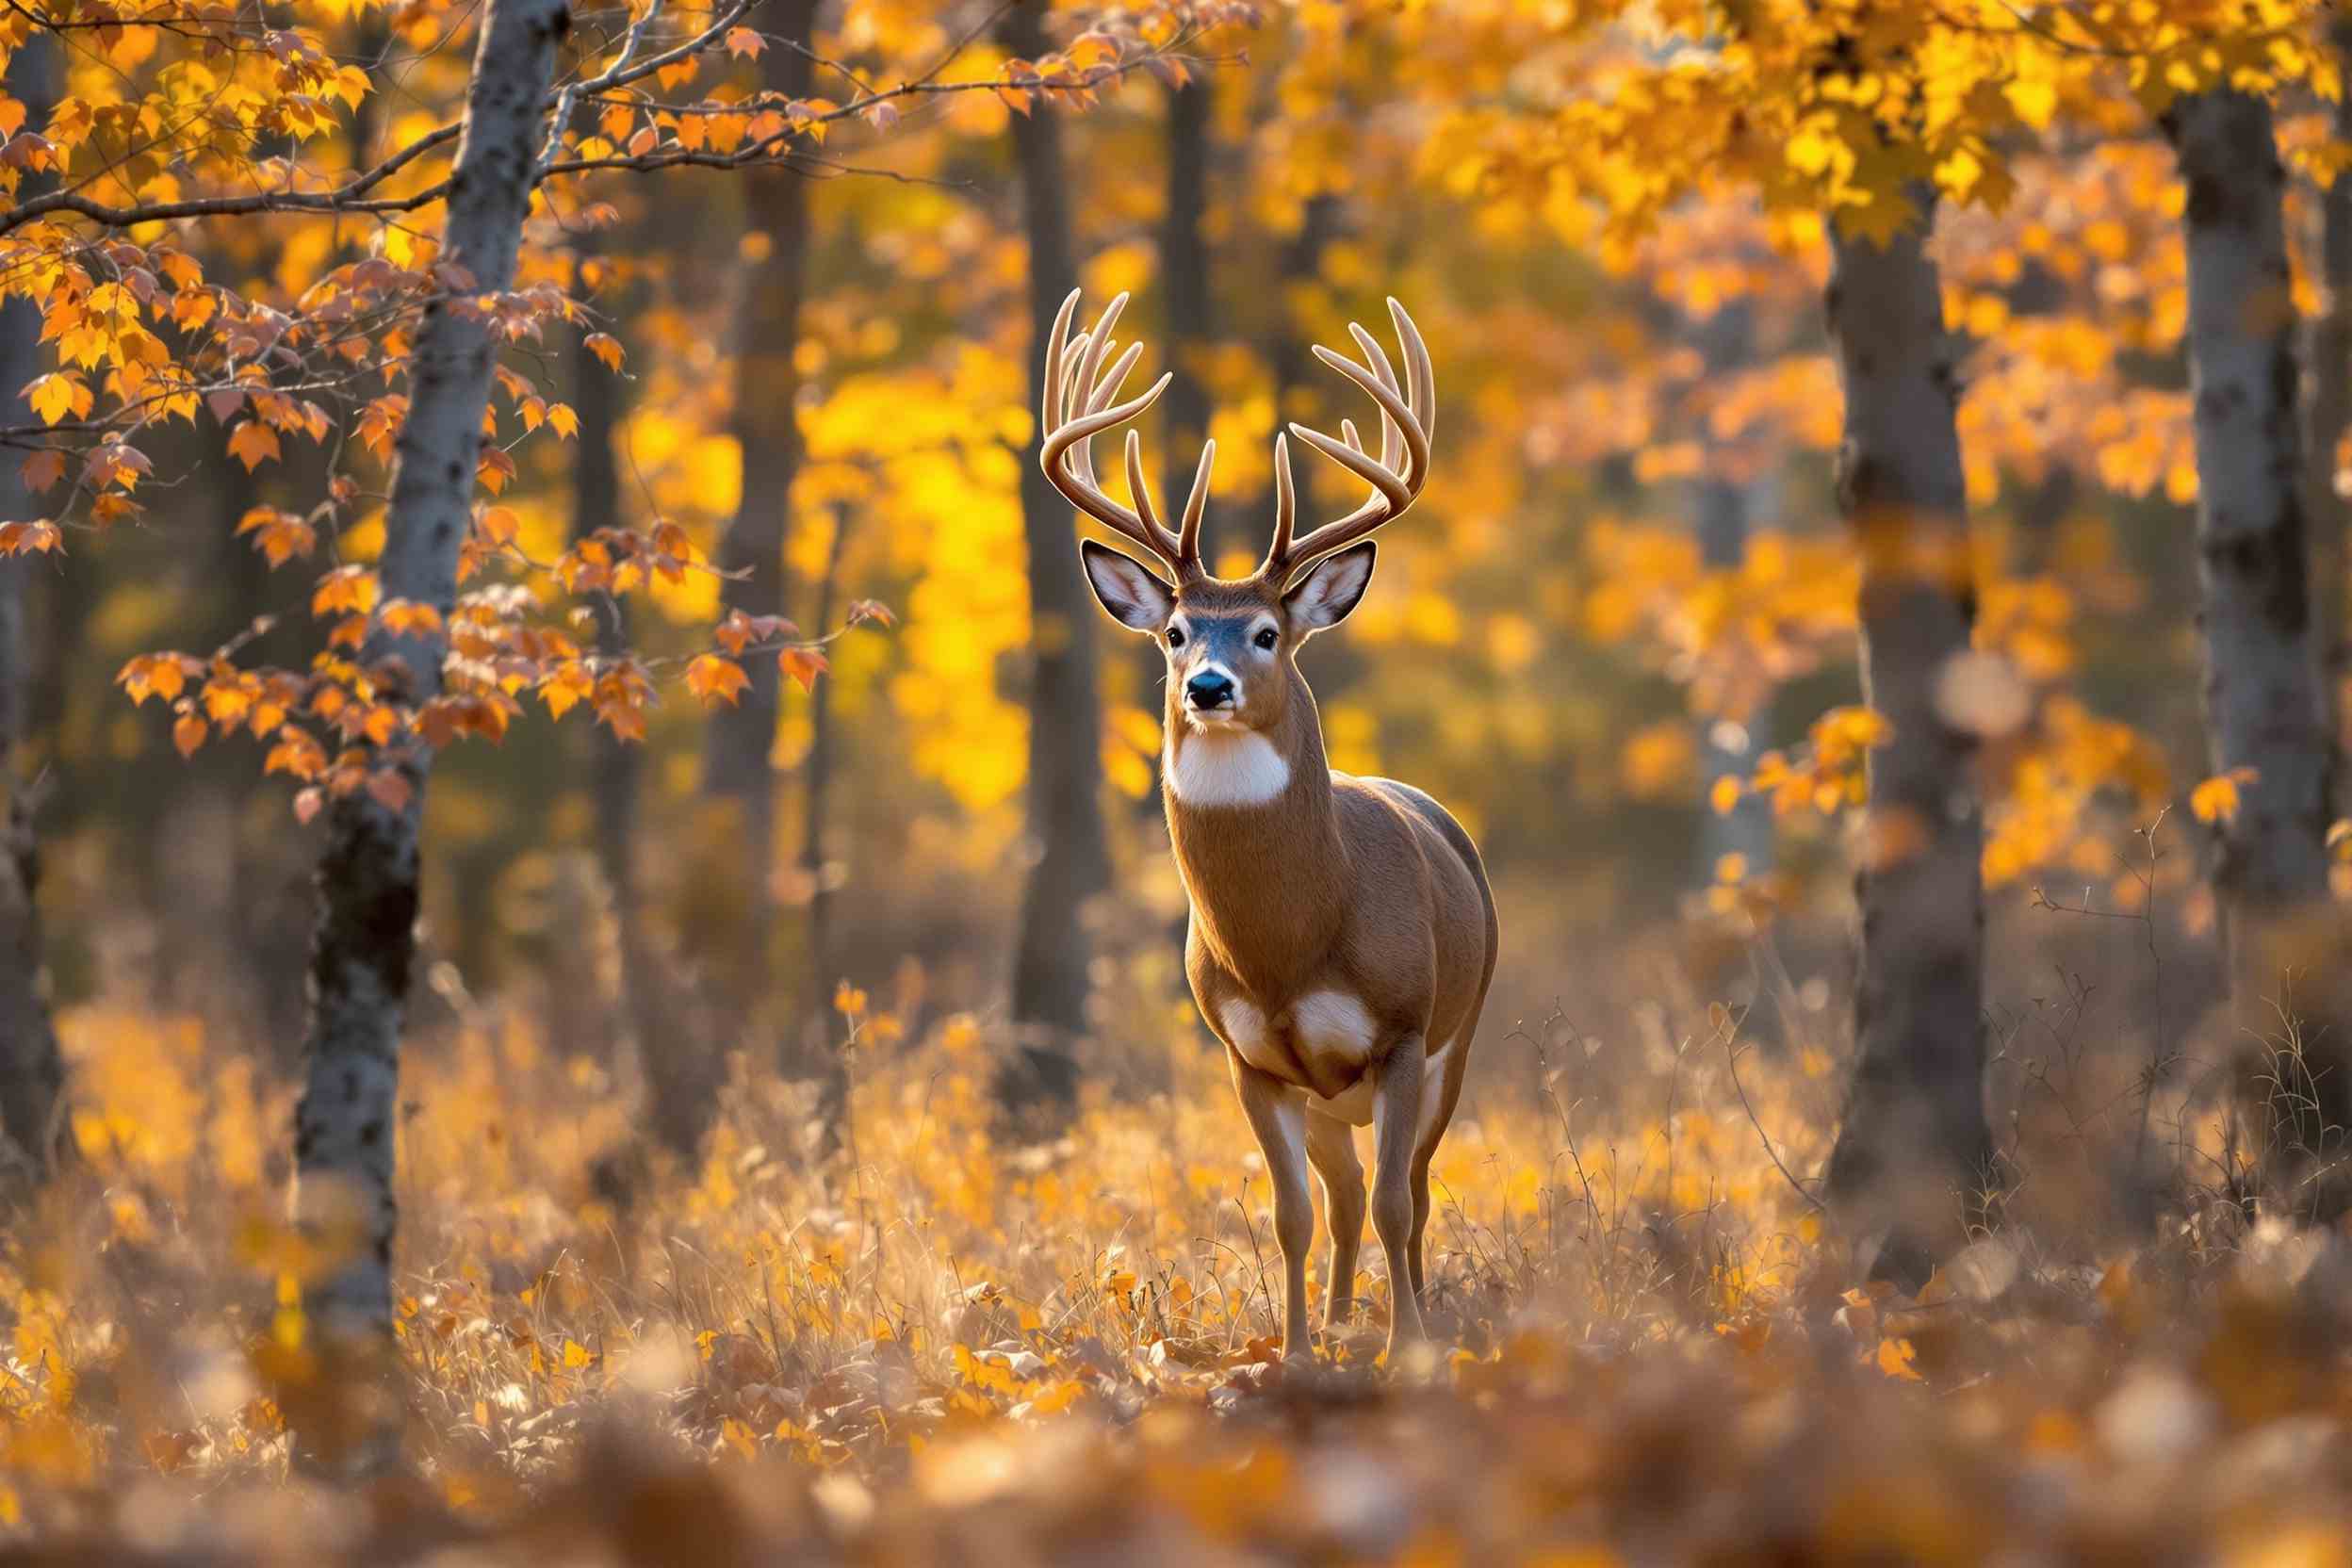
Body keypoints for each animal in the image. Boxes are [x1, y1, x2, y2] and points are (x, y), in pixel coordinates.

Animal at [1040, 288, 1497, 1365]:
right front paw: (1293, 1352)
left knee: (1408, 1188)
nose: (1206, 687)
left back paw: (1401, 1315)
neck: (1290, 941)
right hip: (1327, 1095)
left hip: (1458, 1038)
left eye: (1265, 632)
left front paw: (1407, 1348)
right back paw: (1333, 1320)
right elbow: (1292, 1214)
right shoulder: (1248, 1054)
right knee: (1341, 1196)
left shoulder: (1403, 1030)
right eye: (1173, 632)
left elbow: (1399, 1205)